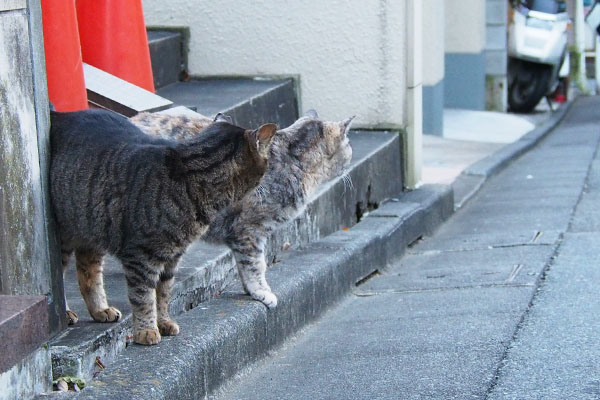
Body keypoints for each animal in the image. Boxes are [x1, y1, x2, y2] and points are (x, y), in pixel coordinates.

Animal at [51, 109, 276, 344]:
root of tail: (60, 114)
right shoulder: (140, 257)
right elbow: (143, 297)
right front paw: (146, 330)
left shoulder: (172, 257)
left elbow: (164, 293)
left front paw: (164, 322)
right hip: (64, 238)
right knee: (62, 276)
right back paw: (67, 312)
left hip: (93, 230)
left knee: (89, 273)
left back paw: (100, 310)